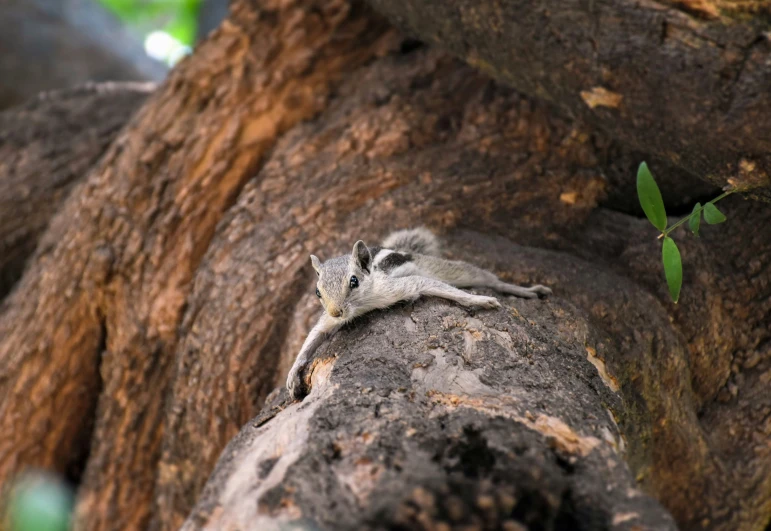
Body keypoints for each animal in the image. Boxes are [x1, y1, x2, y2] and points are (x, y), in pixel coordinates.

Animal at [286, 229, 552, 400]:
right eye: (317, 291)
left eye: (354, 281)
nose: (336, 311)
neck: (363, 304)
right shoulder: (328, 320)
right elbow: (314, 335)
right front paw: (293, 373)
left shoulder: (396, 287)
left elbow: (428, 284)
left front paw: (479, 300)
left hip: (447, 268)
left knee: (484, 278)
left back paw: (528, 290)